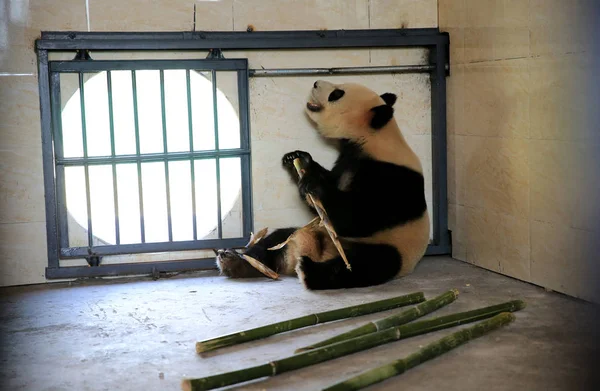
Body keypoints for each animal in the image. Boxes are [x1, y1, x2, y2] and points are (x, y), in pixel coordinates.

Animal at [216, 79, 432, 290]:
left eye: (336, 94)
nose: (315, 83)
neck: (375, 137)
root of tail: (318, 252)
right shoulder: (347, 161)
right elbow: (329, 192)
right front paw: (298, 159)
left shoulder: (391, 177)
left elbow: (357, 217)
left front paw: (313, 183)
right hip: (305, 233)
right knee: (275, 240)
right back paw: (238, 262)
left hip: (392, 248)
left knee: (366, 265)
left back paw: (307, 270)